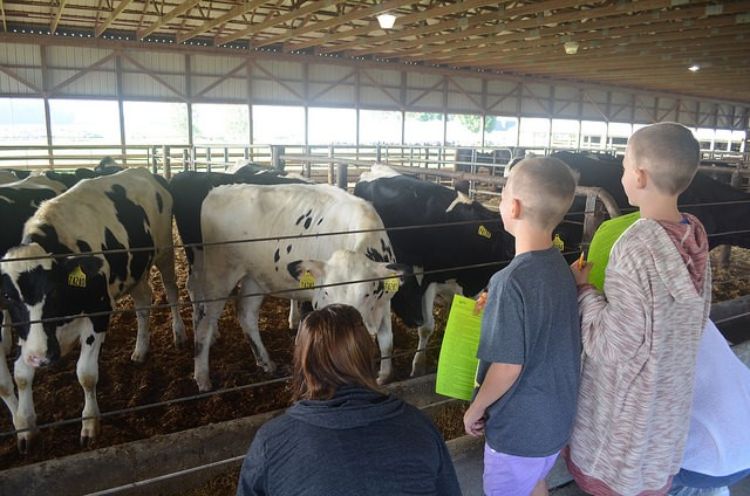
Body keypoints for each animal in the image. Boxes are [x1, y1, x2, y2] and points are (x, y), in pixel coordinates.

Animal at [0, 169, 186, 452]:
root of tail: (143, 172)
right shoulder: (28, 335)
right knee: (144, 303)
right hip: (135, 271)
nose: (40, 358)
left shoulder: (99, 313)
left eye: (53, 292)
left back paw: (178, 333)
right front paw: (25, 427)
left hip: (164, 250)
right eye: (8, 297)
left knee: (171, 291)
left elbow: (86, 374)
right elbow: (20, 374)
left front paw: (89, 425)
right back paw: (140, 349)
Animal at [194, 182, 406, 392]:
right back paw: (203, 379)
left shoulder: (385, 301)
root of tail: (218, 190)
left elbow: (387, 341)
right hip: (219, 273)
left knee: (246, 314)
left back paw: (265, 362)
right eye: (326, 292)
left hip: (254, 278)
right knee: (205, 322)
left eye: (366, 294)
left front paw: (384, 376)